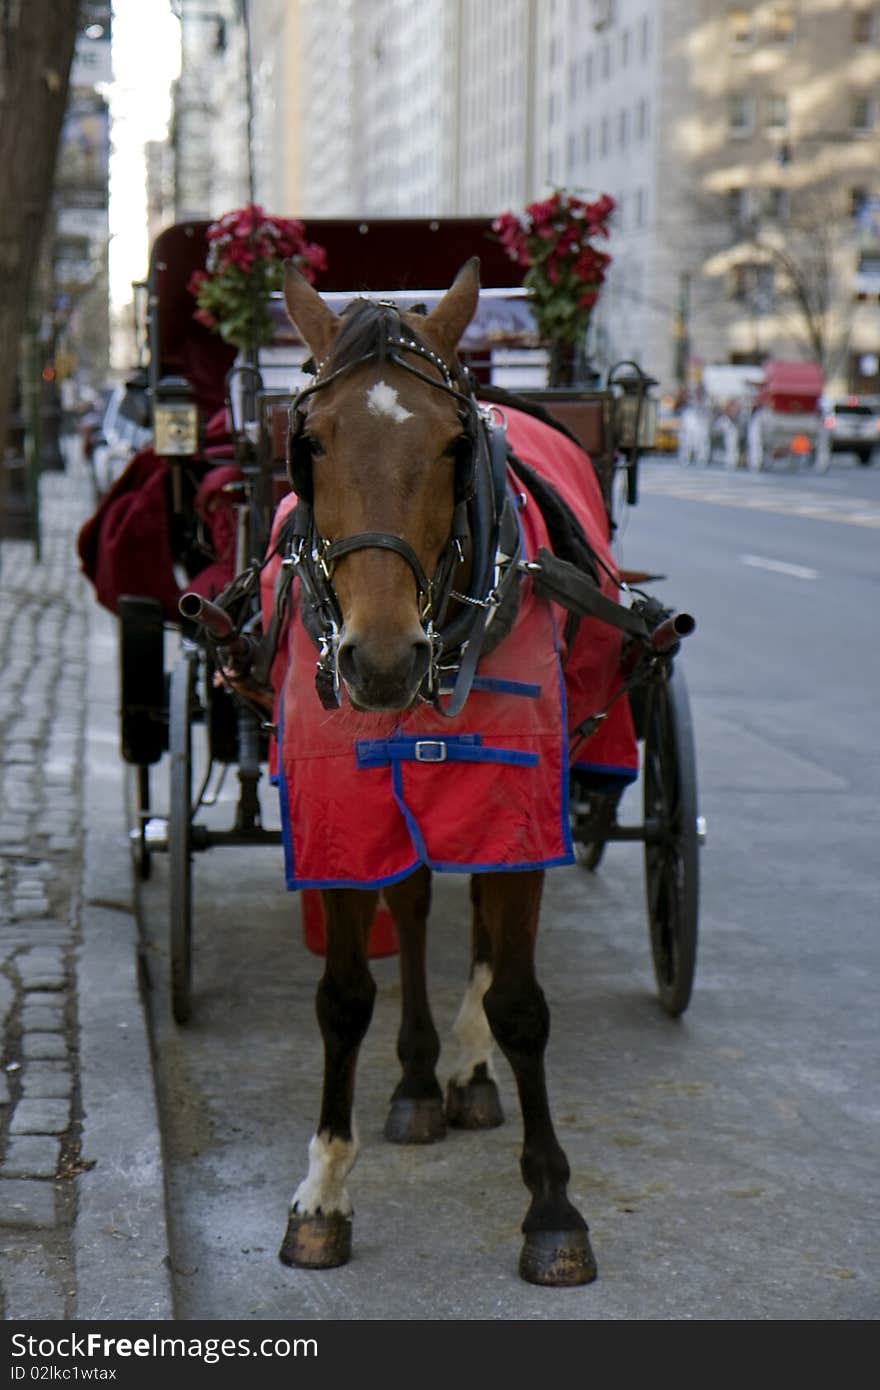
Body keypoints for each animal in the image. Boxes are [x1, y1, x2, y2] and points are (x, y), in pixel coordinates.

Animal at [276, 258, 597, 1278]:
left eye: (456, 445)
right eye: (312, 442)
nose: (381, 662)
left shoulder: (519, 802)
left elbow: (522, 999)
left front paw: (552, 1208)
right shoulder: (338, 809)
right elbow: (344, 997)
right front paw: (324, 1190)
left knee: (484, 931)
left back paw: (464, 1068)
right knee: (414, 902)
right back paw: (419, 1078)